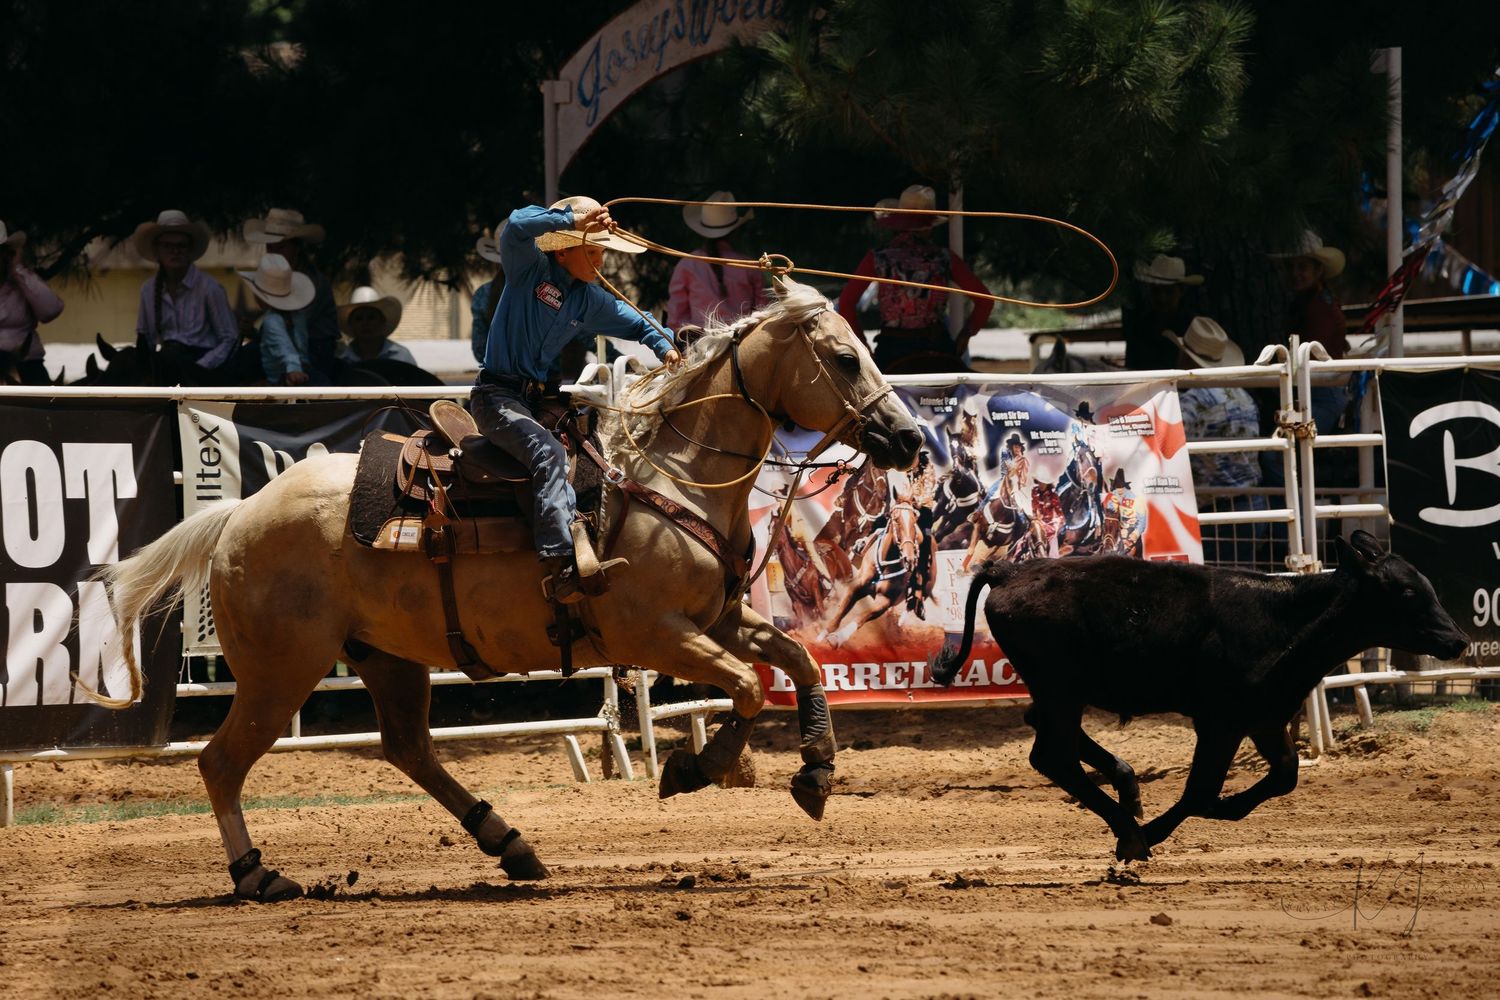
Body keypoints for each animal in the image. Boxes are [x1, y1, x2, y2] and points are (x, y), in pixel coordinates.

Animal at [928, 531, 1469, 862]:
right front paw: (1150, 836)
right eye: (1406, 593)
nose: (1459, 640)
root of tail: (1009, 573)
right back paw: (1130, 831)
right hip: (1060, 686)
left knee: (1044, 731)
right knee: (1051, 755)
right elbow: (1200, 792)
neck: (1284, 621)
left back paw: (1128, 788)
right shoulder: (1220, 722)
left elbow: (1285, 774)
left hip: (1060, 690)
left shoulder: (1264, 717)